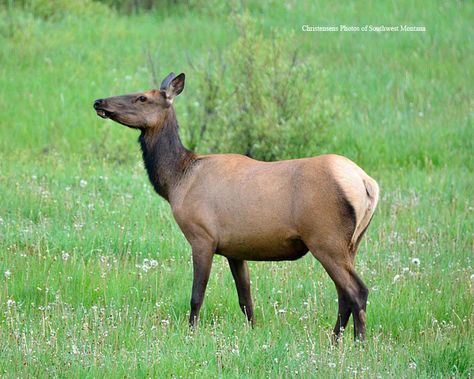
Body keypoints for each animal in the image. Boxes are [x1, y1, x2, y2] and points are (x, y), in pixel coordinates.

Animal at [94, 71, 380, 342]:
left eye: (142, 97)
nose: (99, 102)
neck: (177, 181)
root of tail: (367, 184)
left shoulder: (202, 236)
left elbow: (196, 295)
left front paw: (191, 333)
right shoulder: (235, 249)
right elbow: (246, 300)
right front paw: (253, 332)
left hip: (325, 239)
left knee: (357, 291)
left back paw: (359, 344)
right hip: (351, 243)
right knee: (344, 294)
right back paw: (335, 340)